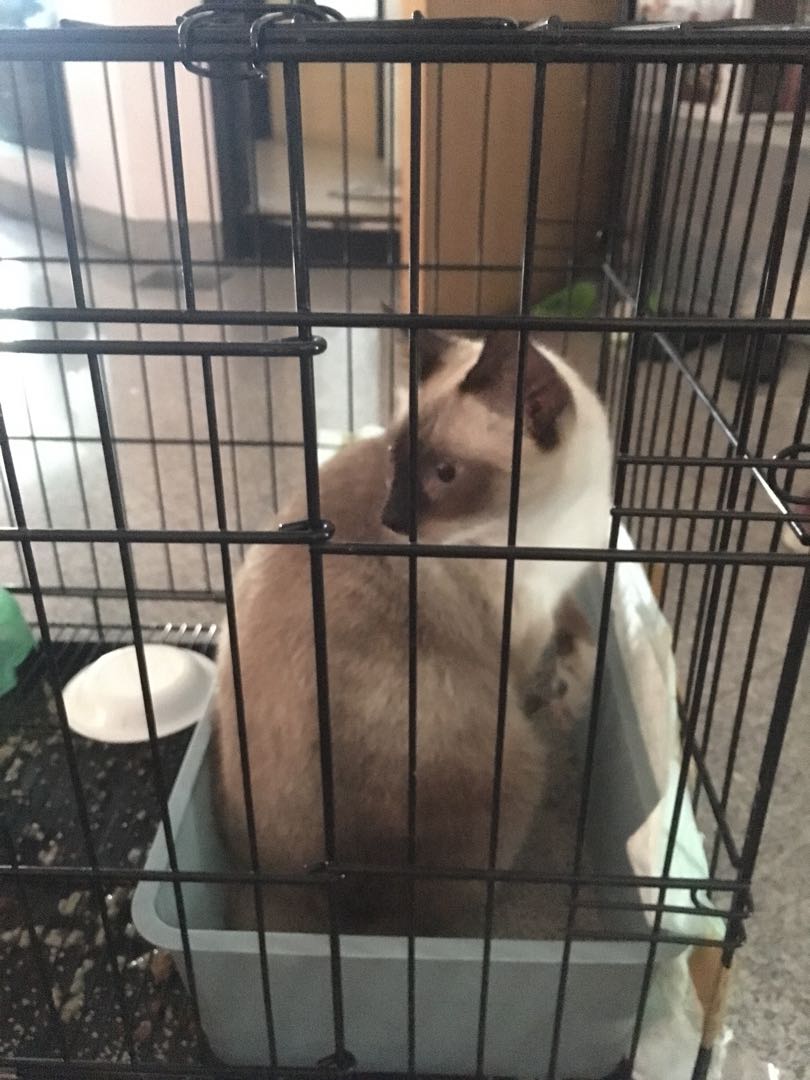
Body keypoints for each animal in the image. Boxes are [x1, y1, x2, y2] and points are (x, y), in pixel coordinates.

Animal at [213, 329, 611, 936]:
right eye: (396, 460)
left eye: (445, 473)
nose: (393, 520)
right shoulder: (519, 635)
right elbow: (534, 670)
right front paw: (557, 694)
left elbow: (579, 628)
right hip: (518, 766)